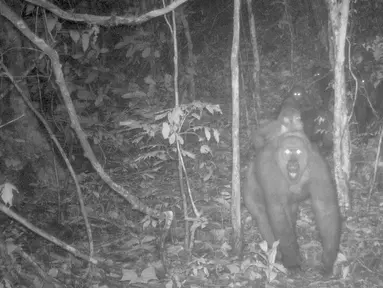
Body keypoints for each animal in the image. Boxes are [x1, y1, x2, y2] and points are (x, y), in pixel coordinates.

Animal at [244, 130, 340, 274]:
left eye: (299, 152)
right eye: (287, 152)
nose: (293, 164)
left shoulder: (318, 165)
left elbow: (325, 208)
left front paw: (328, 257)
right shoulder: (268, 168)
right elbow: (277, 212)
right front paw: (291, 260)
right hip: (249, 188)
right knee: (262, 217)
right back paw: (277, 253)